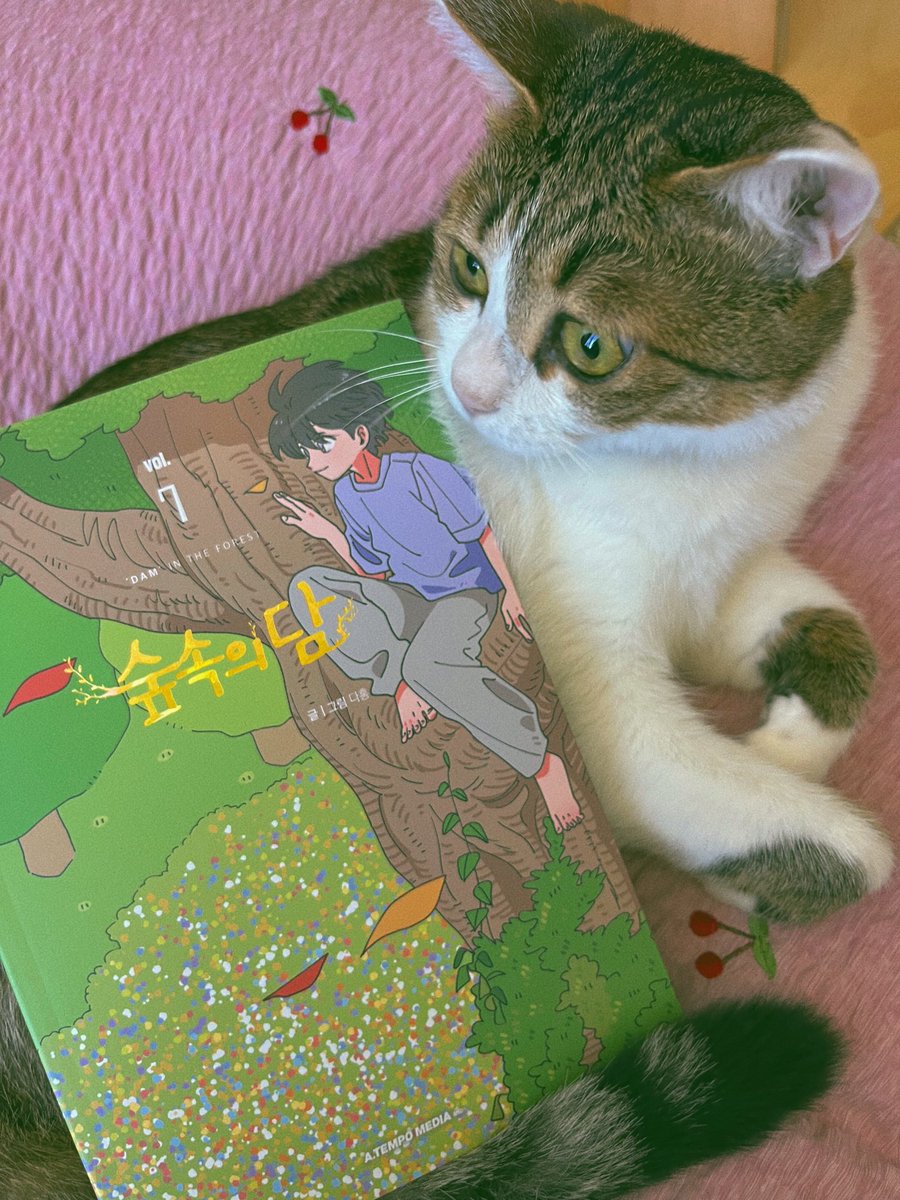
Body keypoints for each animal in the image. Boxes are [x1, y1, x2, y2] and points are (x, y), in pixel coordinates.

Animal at [2, 1, 892, 1197]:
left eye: (591, 345)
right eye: (469, 267)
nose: (463, 391)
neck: (695, 468)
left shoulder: (724, 566)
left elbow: (844, 634)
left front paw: (795, 731)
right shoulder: (588, 681)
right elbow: (821, 839)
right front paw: (783, 847)